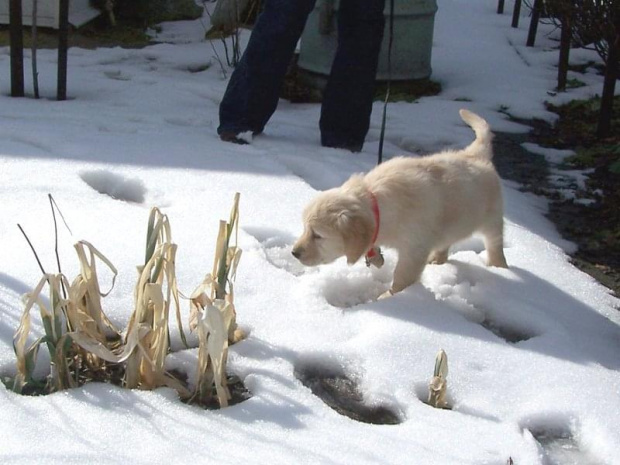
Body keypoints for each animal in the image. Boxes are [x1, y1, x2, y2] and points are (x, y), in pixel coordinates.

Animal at [294, 109, 506, 298]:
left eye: (318, 236)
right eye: (305, 229)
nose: (294, 253)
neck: (378, 205)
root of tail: (476, 154)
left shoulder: (414, 247)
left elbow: (403, 275)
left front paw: (389, 297)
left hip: (492, 217)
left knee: (495, 242)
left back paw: (499, 266)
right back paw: (438, 259)